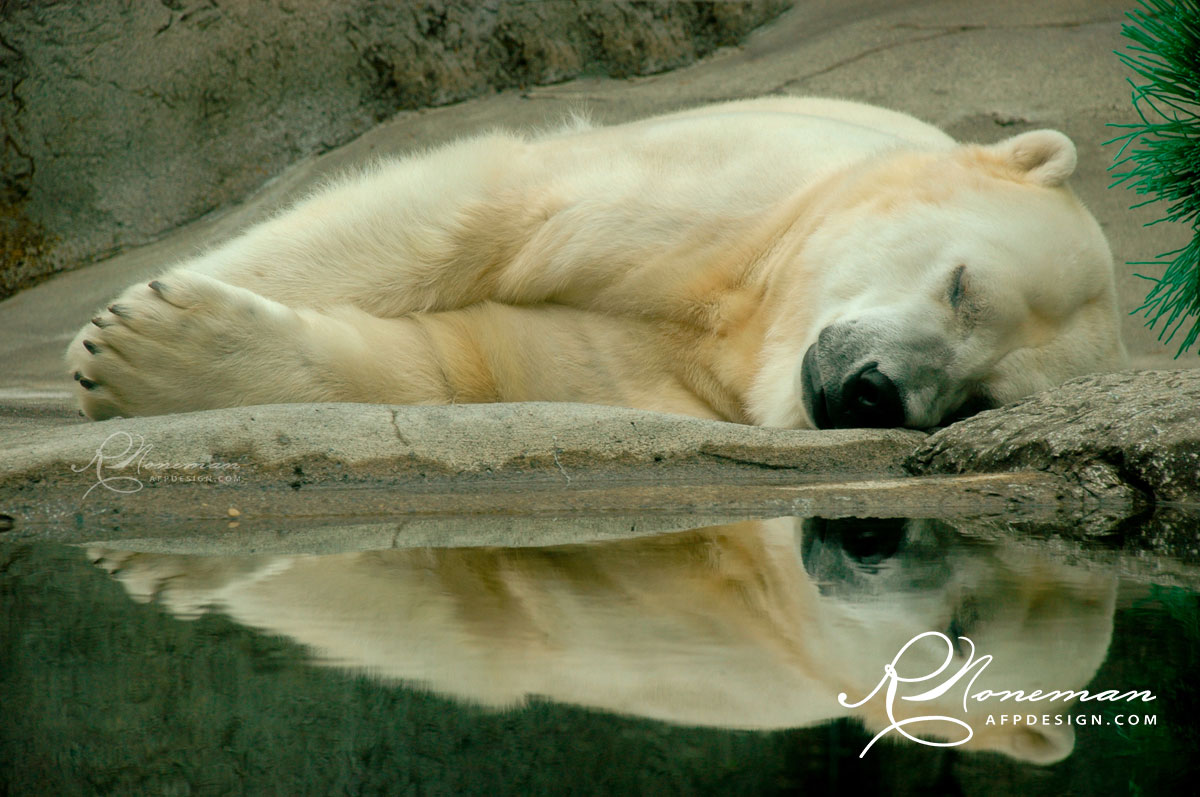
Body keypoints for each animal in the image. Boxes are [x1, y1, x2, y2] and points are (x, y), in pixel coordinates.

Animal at [67, 97, 1127, 428]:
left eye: (978, 401)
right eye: (962, 286)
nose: (872, 391)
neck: (754, 320)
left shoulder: (680, 381)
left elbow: (476, 362)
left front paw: (152, 356)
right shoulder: (747, 200)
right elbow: (491, 208)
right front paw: (99, 337)